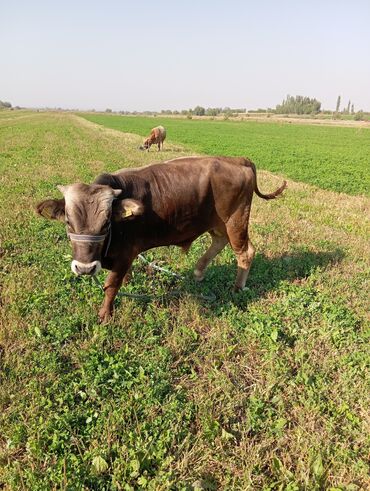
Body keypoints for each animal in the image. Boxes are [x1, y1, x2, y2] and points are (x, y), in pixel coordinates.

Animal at [36, 156, 286, 320]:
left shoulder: (126, 254)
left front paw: (105, 315)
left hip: (236, 220)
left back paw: (237, 288)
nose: (85, 268)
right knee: (220, 242)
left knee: (245, 252)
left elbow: (111, 285)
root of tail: (238, 159)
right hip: (218, 223)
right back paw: (199, 272)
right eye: (68, 223)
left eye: (106, 223)